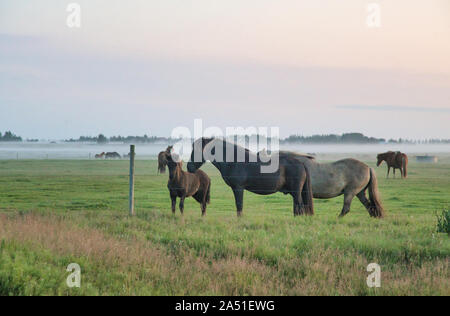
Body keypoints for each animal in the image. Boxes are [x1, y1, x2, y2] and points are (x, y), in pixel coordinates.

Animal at [188, 137, 384, 218]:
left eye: (196, 149)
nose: (189, 167)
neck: (236, 160)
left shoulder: (238, 188)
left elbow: (239, 205)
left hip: (347, 192)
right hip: (358, 193)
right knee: (369, 206)